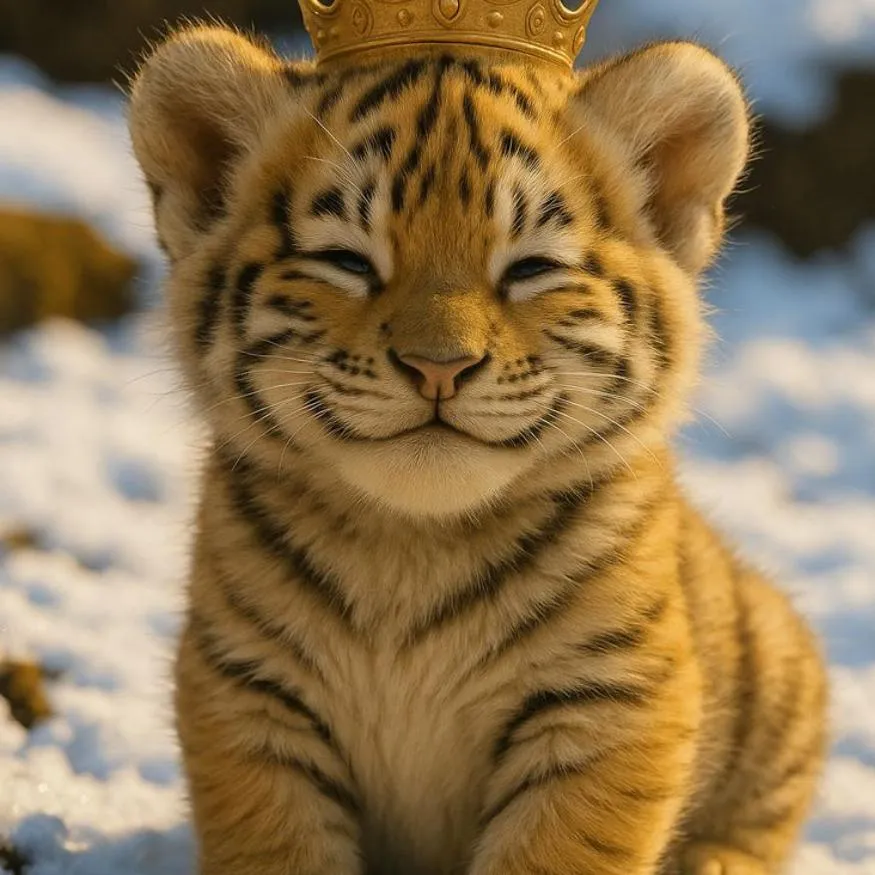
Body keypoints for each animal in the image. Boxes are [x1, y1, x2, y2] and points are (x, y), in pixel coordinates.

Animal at [128, 24, 828, 875]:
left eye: (529, 268)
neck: (411, 545)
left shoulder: (608, 696)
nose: (439, 366)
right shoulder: (247, 691)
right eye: (348, 261)